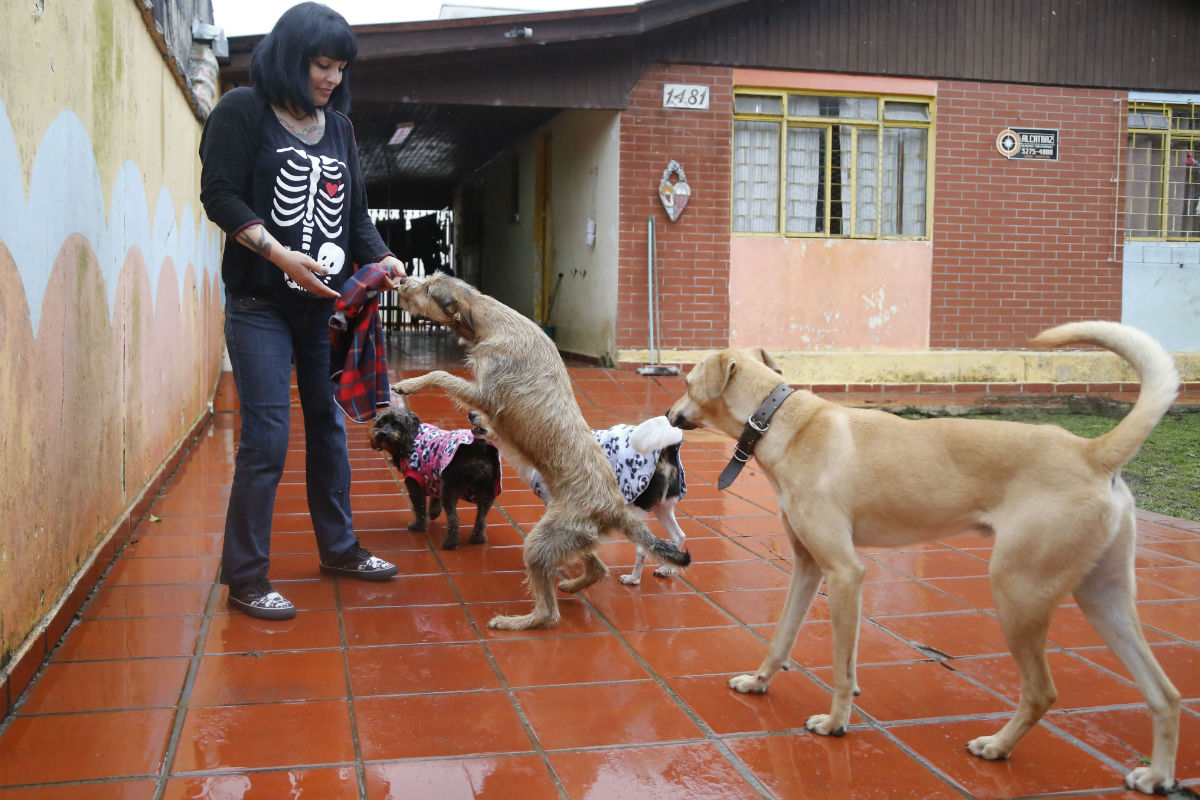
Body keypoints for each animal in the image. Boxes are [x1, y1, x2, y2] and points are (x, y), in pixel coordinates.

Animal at [364, 407, 496, 551]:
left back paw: (450, 543)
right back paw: (478, 538)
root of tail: (477, 447)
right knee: (481, 518)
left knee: (453, 518)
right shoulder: (435, 477)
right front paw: (433, 512)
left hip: (451, 490)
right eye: (381, 423)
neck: (412, 436)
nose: (382, 433)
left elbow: (420, 509)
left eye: (397, 423)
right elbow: (434, 498)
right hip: (487, 493)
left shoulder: (414, 484)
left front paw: (419, 526)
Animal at [391, 272, 691, 628]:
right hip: (572, 537)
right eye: (428, 279)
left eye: (427, 289)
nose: (401, 281)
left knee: (549, 613)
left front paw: (408, 385)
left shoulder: (485, 393)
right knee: (596, 568)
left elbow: (440, 374)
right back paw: (573, 584)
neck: (490, 318)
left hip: (539, 542)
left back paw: (515, 621)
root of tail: (614, 509)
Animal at [667, 321, 1180, 796]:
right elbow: (782, 638)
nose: (669, 414)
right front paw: (760, 683)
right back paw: (1157, 775)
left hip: (1018, 592)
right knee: (1165, 693)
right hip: (1103, 597)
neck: (782, 421)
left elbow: (841, 665)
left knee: (1041, 692)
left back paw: (998, 745)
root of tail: (1092, 452)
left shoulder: (845, 573)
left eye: (687, 383)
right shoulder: (808, 567)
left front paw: (835, 722)